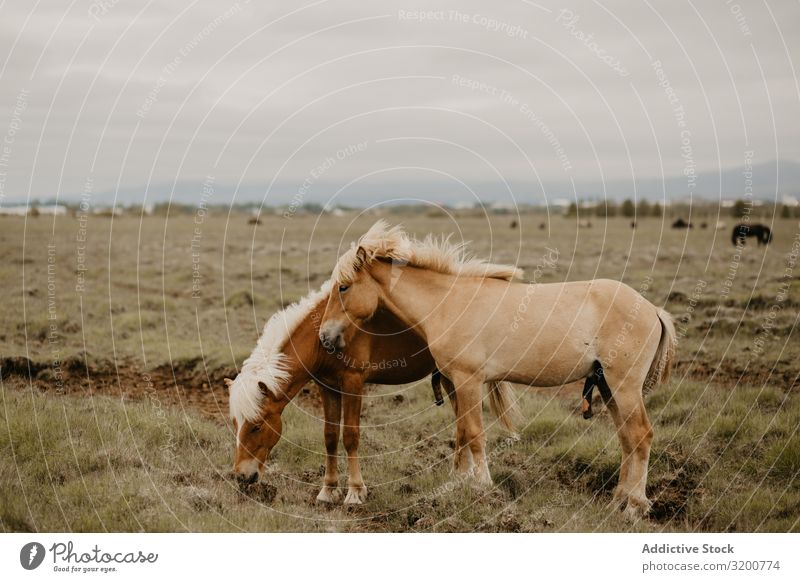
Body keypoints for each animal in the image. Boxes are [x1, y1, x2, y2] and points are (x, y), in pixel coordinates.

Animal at [227, 280, 520, 504]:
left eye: (256, 426)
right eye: (235, 424)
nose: (241, 476)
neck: (323, 335)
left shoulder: (353, 383)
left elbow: (350, 437)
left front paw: (355, 493)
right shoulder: (327, 387)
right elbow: (330, 437)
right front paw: (328, 491)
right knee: (462, 422)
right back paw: (460, 476)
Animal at [318, 221, 676, 516]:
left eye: (343, 287)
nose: (324, 336)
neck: (448, 303)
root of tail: (652, 309)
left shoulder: (468, 381)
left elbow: (475, 435)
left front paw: (483, 486)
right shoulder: (455, 383)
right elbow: (461, 432)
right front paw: (461, 482)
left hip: (624, 387)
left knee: (641, 436)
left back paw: (635, 506)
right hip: (607, 386)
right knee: (627, 439)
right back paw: (618, 500)